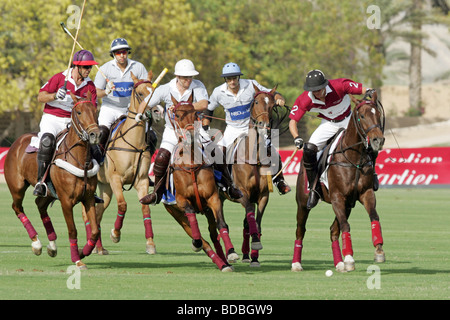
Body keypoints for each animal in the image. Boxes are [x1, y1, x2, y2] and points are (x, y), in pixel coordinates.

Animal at [4, 93, 100, 270]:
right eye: (79, 112)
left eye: (95, 111)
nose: (95, 135)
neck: (80, 161)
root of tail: (17, 141)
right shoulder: (66, 201)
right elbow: (72, 230)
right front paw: (77, 259)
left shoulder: (89, 198)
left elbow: (95, 231)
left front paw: (83, 252)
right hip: (17, 187)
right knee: (17, 207)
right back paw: (36, 243)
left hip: (49, 192)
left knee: (40, 205)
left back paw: (52, 245)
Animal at [92, 70, 163, 255]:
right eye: (140, 93)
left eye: (154, 91)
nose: (158, 111)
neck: (133, 143)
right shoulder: (116, 179)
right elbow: (123, 205)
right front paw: (115, 234)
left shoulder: (142, 180)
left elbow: (145, 208)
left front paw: (150, 244)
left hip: (105, 187)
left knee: (98, 211)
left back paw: (99, 247)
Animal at [163, 94, 237, 272]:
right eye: (177, 115)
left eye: (195, 113)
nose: (190, 135)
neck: (191, 164)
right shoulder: (181, 200)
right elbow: (193, 221)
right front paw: (195, 243)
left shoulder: (213, 198)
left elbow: (222, 224)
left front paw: (231, 252)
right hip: (174, 212)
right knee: (203, 239)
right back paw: (215, 258)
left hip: (207, 209)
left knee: (213, 232)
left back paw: (224, 262)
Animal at [227, 84, 280, 266]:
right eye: (256, 102)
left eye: (272, 104)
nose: (264, 125)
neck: (254, 157)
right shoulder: (243, 193)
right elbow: (251, 216)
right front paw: (254, 245)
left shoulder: (263, 195)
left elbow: (257, 222)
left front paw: (255, 254)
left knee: (246, 225)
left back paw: (245, 254)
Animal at [294, 92, 384, 272]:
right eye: (362, 116)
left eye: (378, 114)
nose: (378, 140)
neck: (354, 158)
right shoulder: (337, 197)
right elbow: (346, 226)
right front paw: (349, 258)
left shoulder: (365, 193)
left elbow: (374, 217)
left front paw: (379, 249)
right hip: (302, 203)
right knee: (301, 230)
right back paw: (296, 264)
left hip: (348, 204)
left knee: (333, 231)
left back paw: (339, 263)